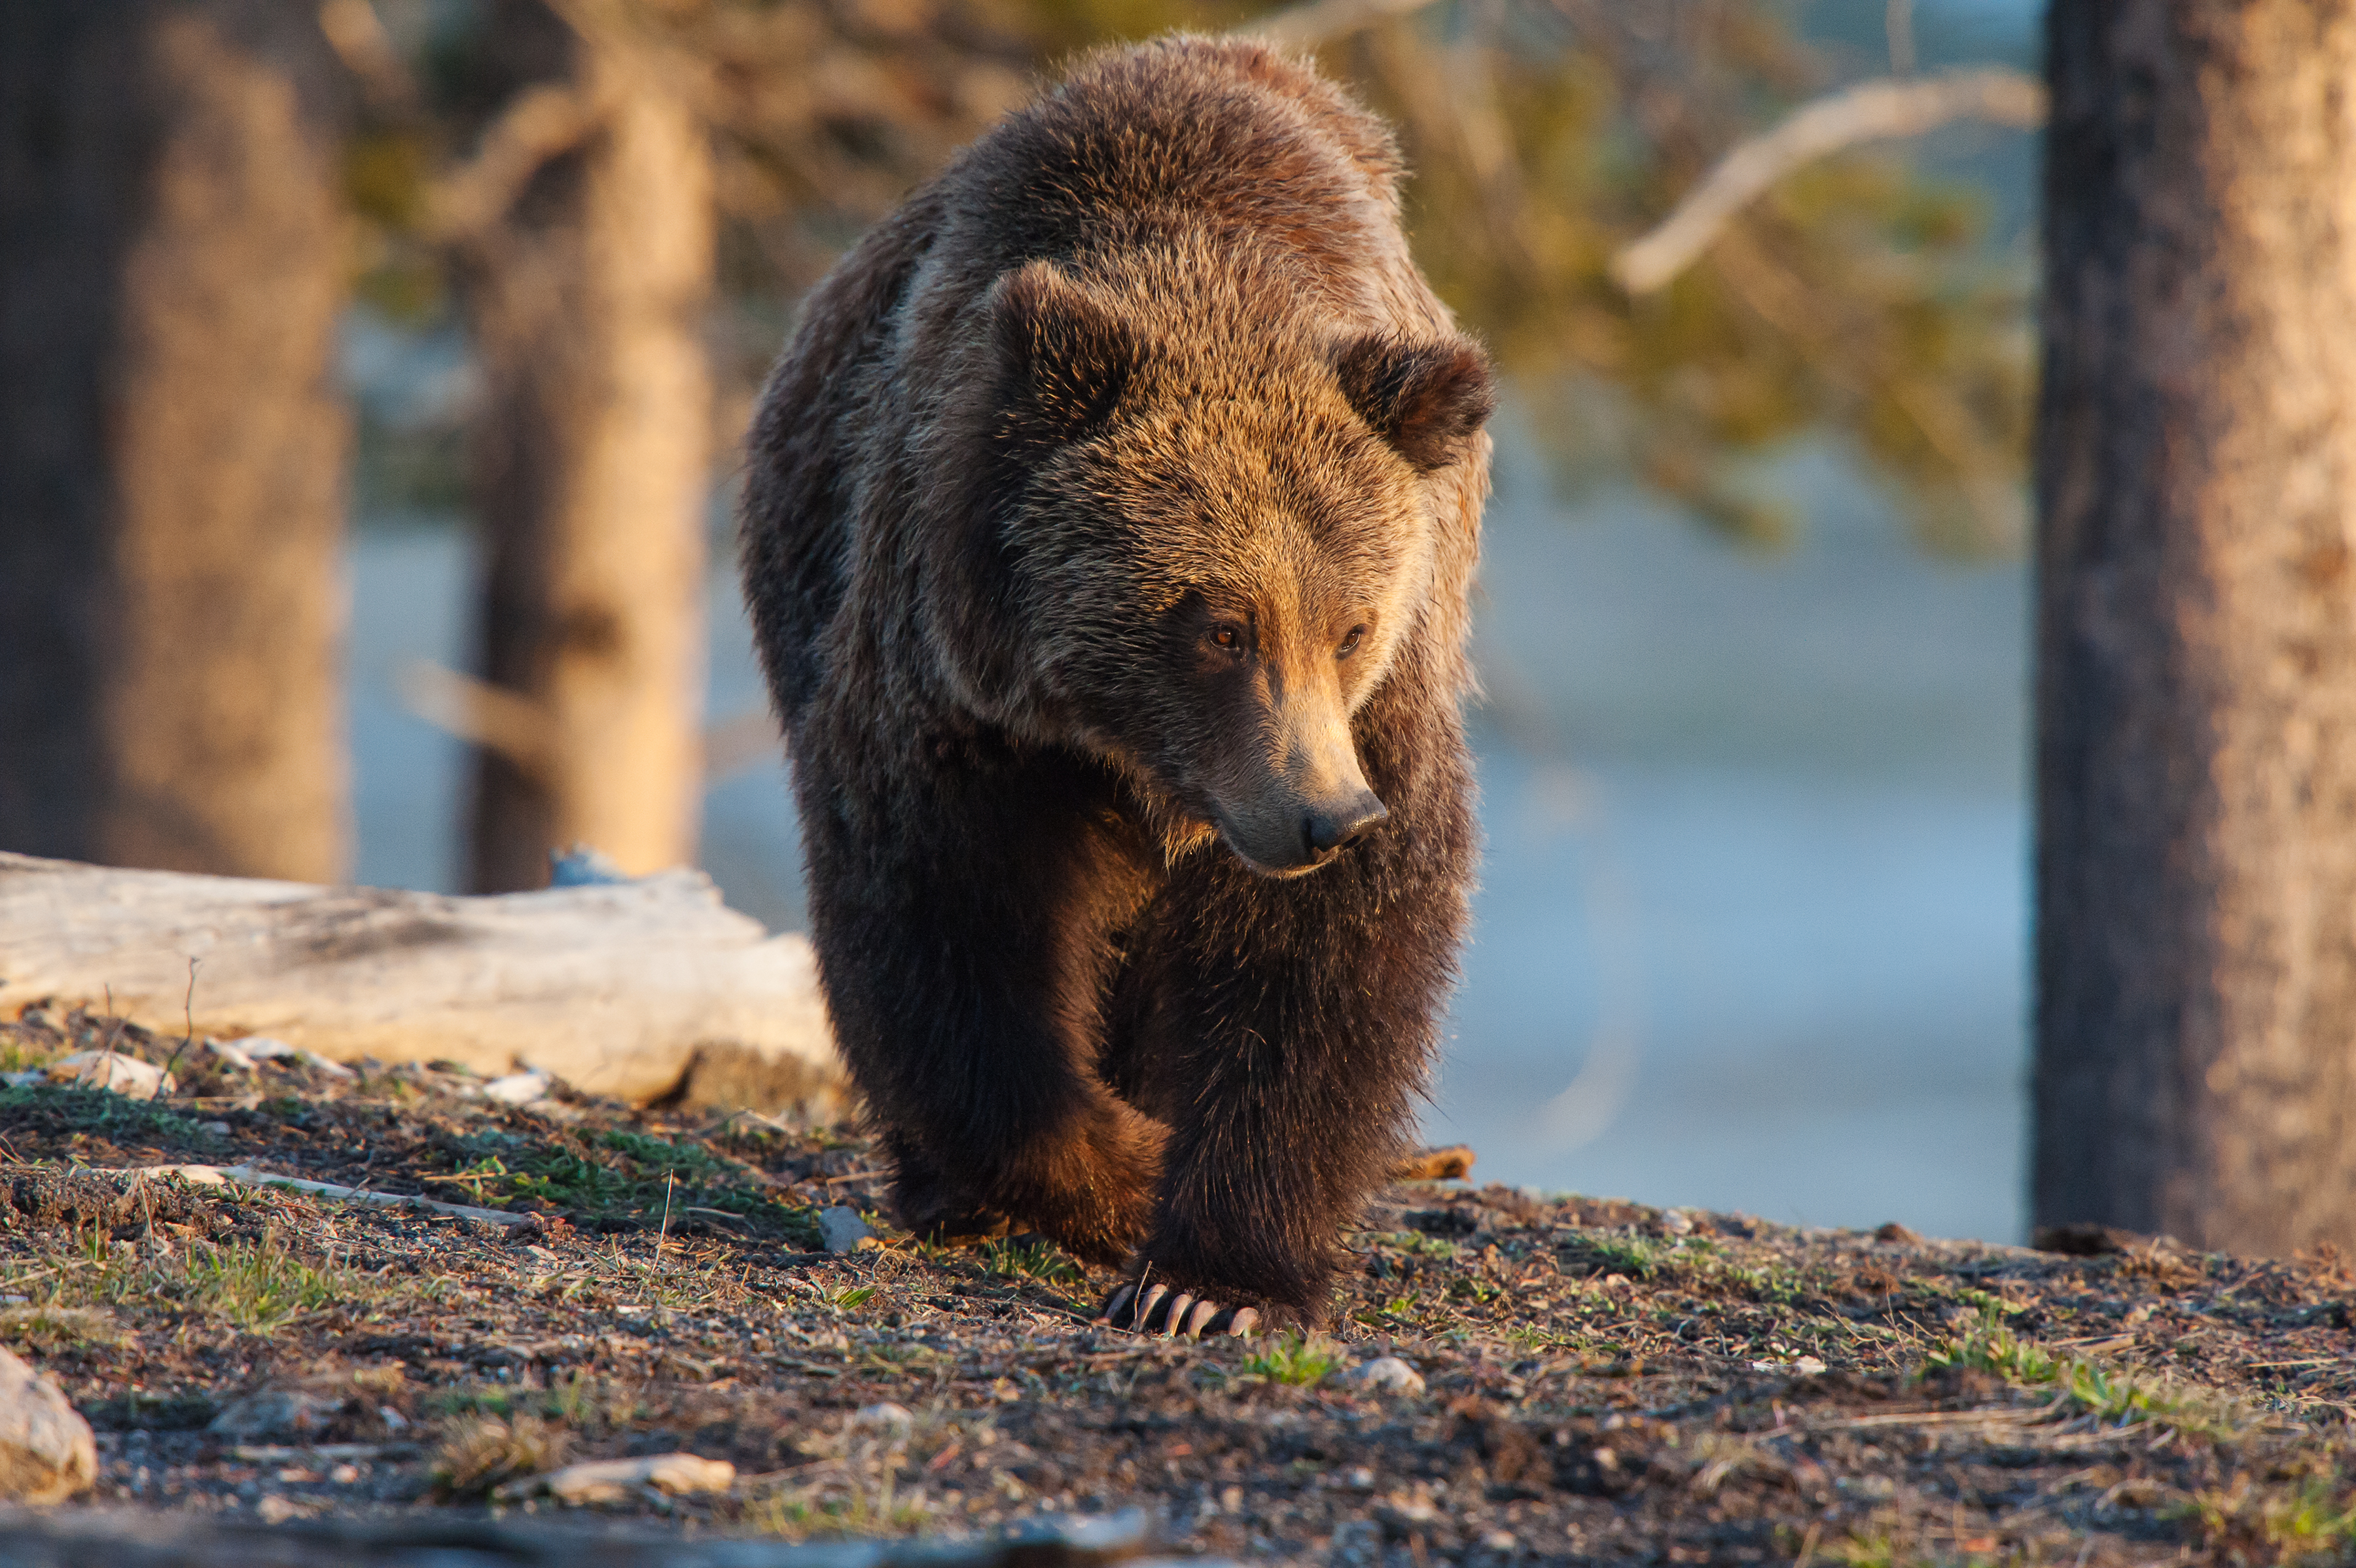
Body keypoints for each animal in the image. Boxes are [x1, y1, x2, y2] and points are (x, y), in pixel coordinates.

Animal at [740, 36, 1489, 1328]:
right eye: (1222, 627)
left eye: (1350, 627)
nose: (1325, 818)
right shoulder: (957, 699)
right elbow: (944, 930)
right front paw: (1120, 1167)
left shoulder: (1381, 715)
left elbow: (1328, 965)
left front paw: (1215, 1280)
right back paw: (953, 1191)